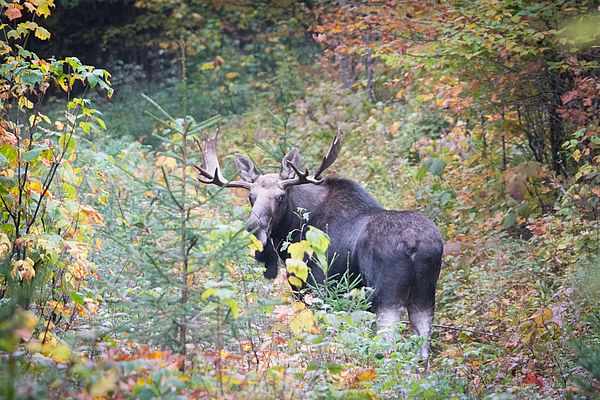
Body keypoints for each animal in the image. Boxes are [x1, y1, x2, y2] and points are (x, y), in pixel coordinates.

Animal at [195, 132, 442, 368]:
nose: (254, 230)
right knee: (423, 351)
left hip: (386, 296)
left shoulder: (315, 288)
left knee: (388, 346)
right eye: (250, 197)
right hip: (424, 296)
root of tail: (414, 245)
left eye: (281, 197)